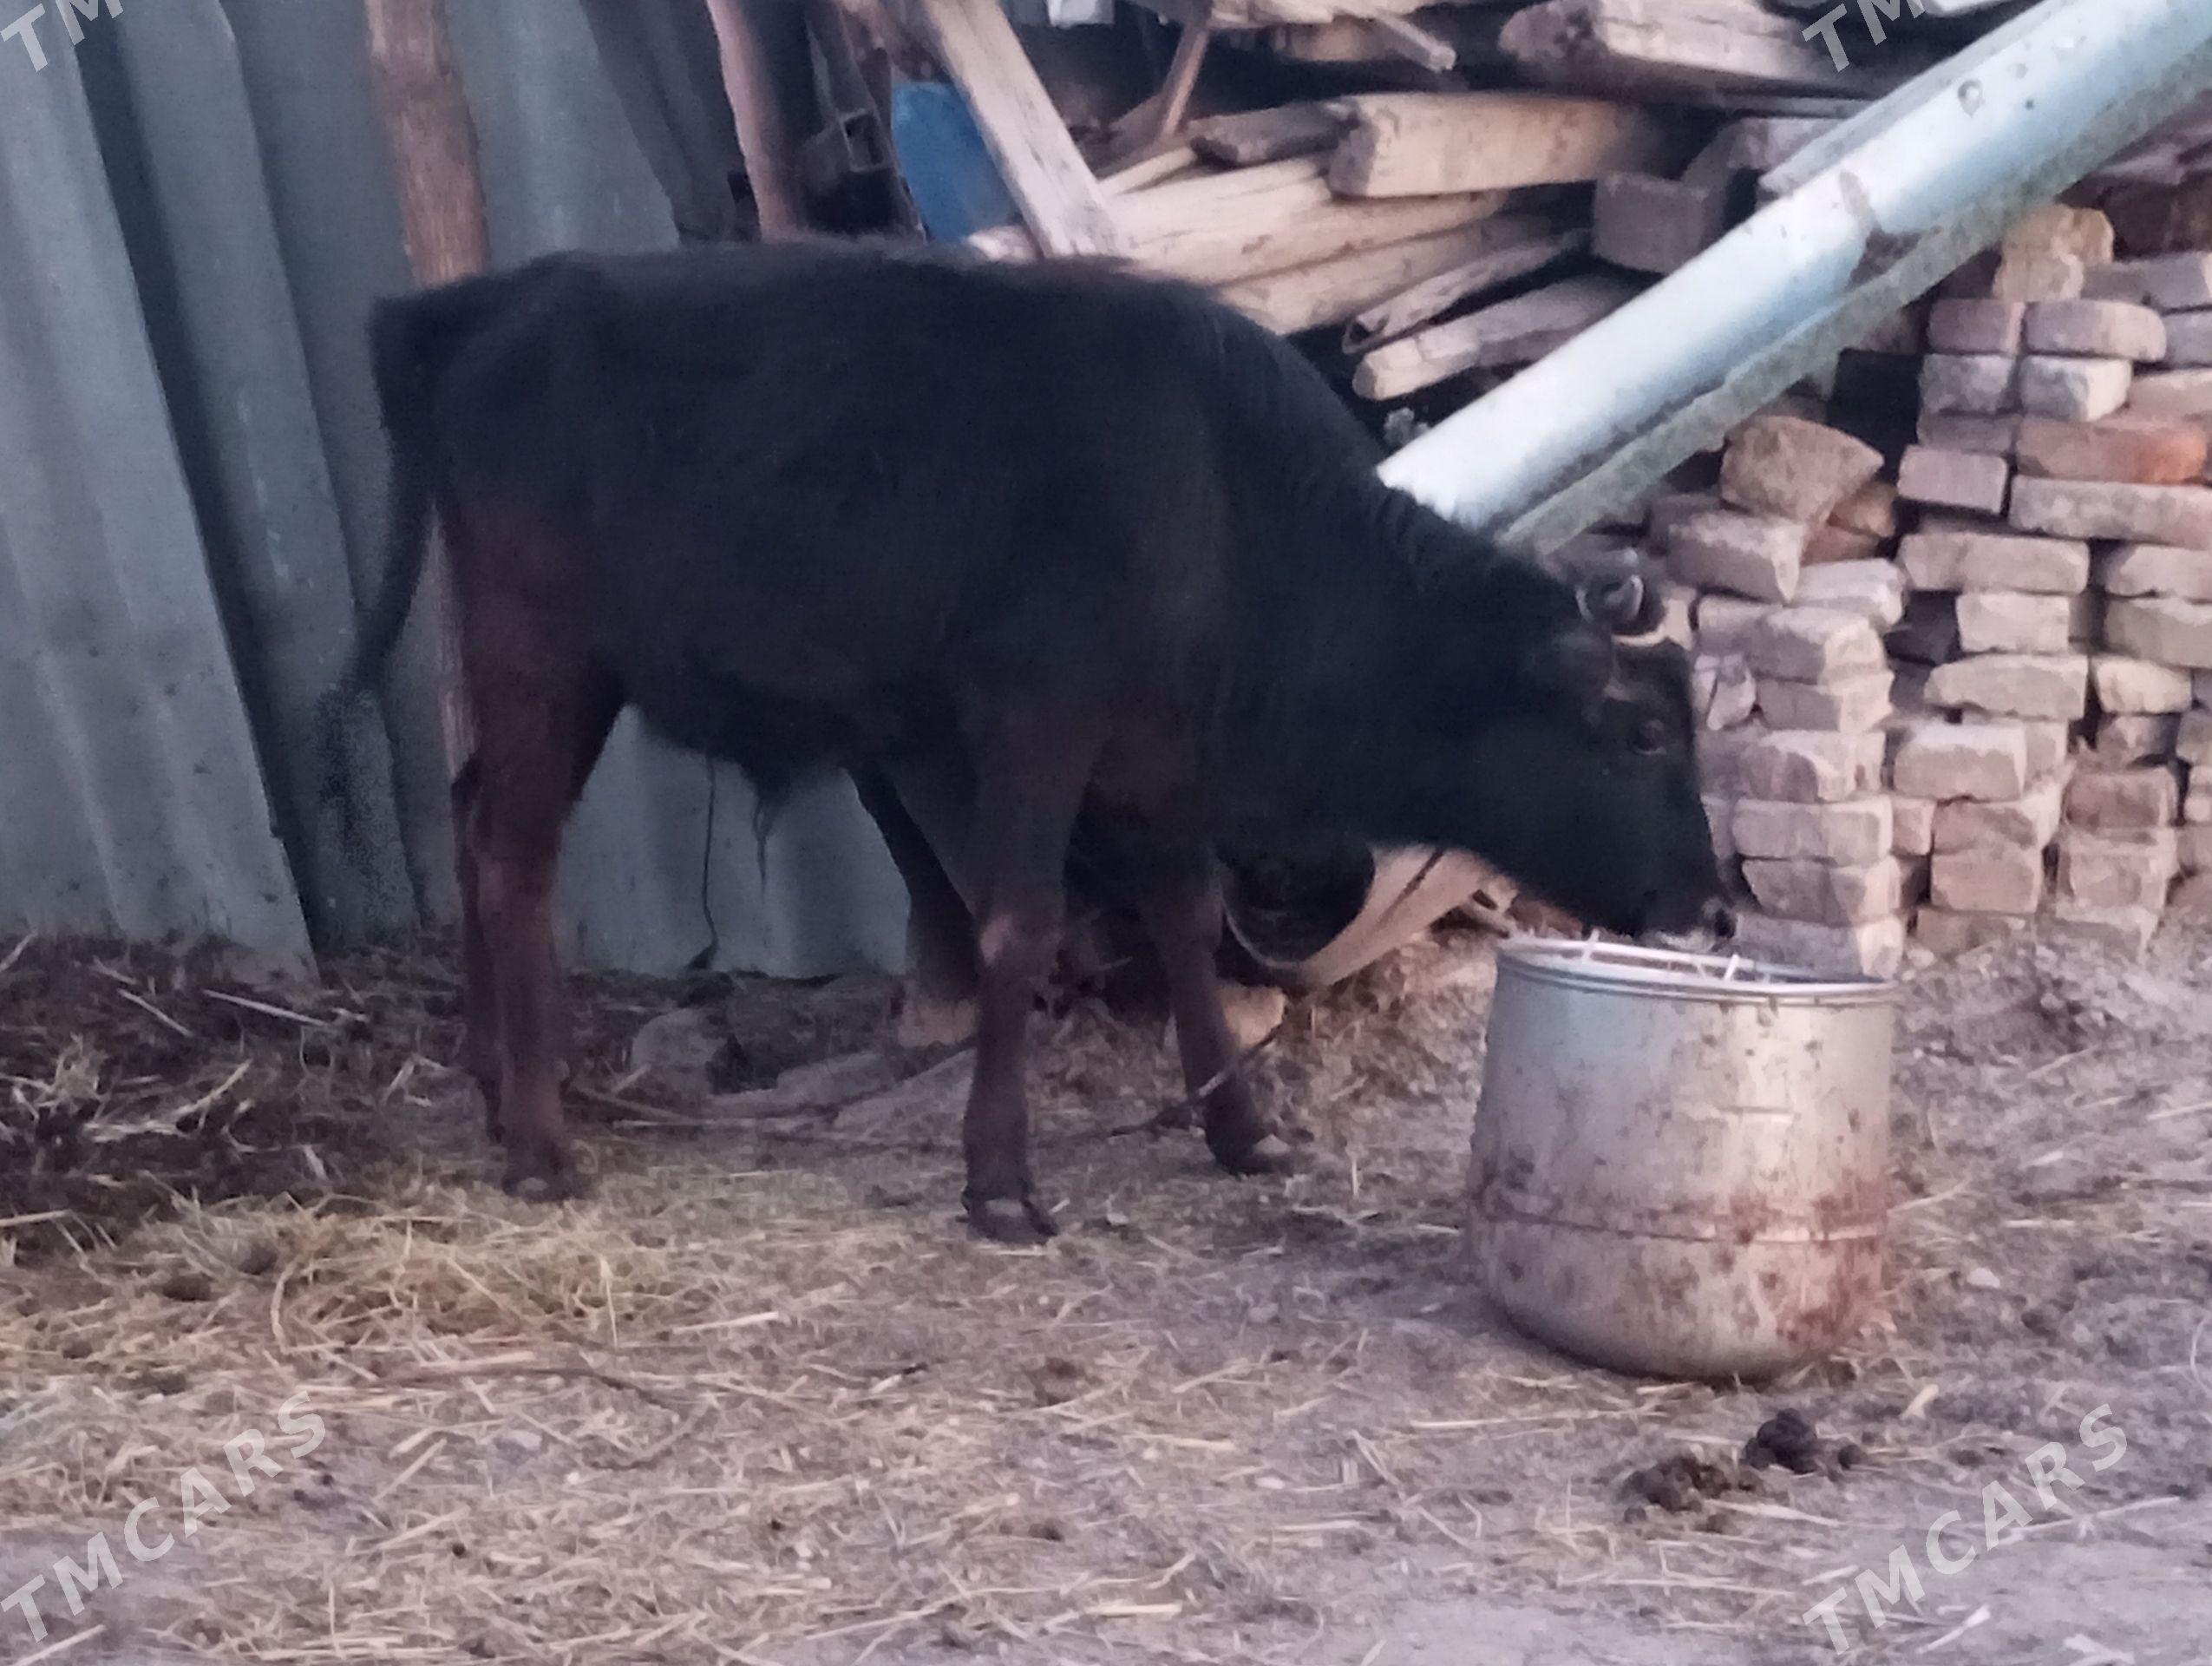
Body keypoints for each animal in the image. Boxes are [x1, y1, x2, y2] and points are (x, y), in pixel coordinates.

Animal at [326, 240, 1728, 1243]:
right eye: (1640, 733)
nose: (1712, 908)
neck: (1227, 505)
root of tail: (477, 304)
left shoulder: (1159, 757)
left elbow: (1181, 918)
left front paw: (1241, 1127)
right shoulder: (1032, 726)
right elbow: (1017, 925)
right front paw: (999, 1178)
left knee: (469, 815)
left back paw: (487, 1079)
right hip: (544, 658)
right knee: (512, 858)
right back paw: (537, 1142)